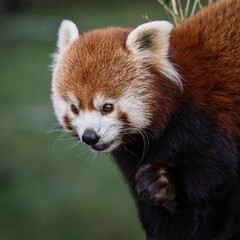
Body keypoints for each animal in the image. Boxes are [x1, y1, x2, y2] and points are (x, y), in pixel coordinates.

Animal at [50, 0, 240, 239]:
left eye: (107, 107)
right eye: (75, 108)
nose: (90, 137)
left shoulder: (206, 123)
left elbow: (217, 174)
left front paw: (163, 181)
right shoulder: (134, 157)